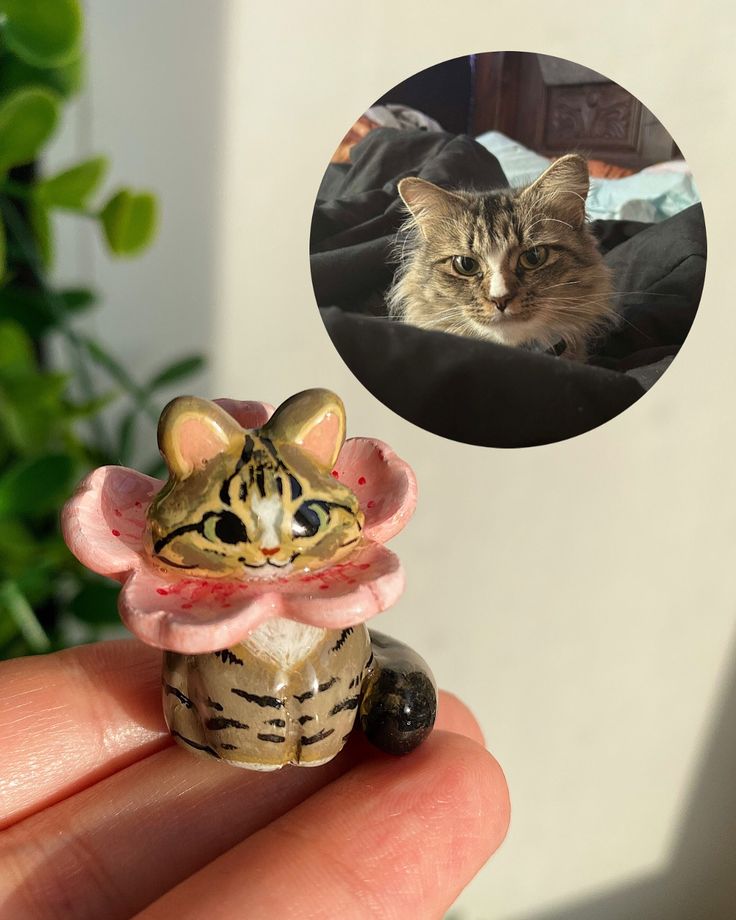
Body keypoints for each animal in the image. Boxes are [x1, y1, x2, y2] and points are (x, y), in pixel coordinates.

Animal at [151, 390, 436, 768]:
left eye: (309, 519)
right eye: (226, 529)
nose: (271, 552)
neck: (279, 617)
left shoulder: (332, 674)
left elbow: (325, 717)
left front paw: (315, 757)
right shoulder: (223, 682)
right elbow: (247, 723)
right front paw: (258, 761)